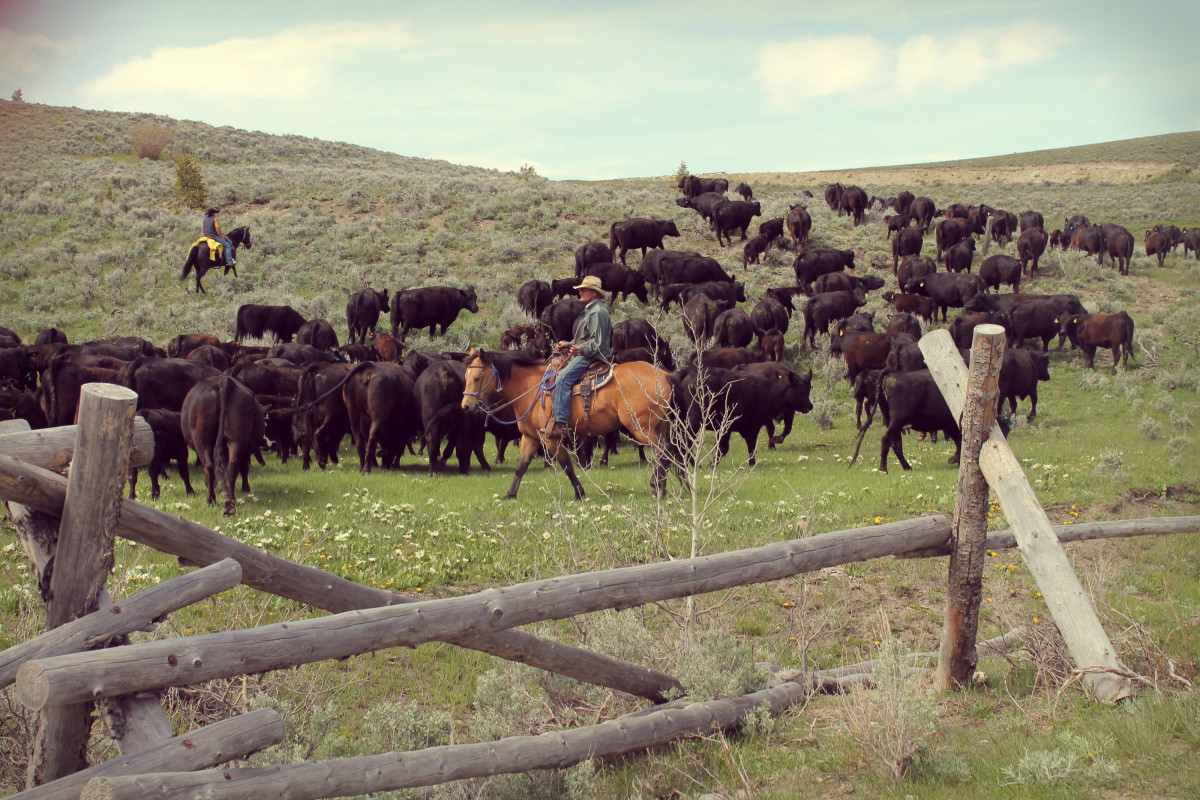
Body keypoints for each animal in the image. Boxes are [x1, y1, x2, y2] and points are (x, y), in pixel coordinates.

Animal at [460, 350, 676, 501]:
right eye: (466, 377)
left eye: (477, 378)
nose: (466, 406)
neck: (531, 387)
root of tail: (663, 374)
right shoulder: (530, 437)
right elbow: (521, 466)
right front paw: (510, 494)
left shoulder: (550, 438)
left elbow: (567, 465)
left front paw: (579, 493)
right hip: (660, 427)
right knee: (666, 453)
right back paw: (661, 487)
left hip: (641, 428)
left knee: (663, 452)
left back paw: (657, 485)